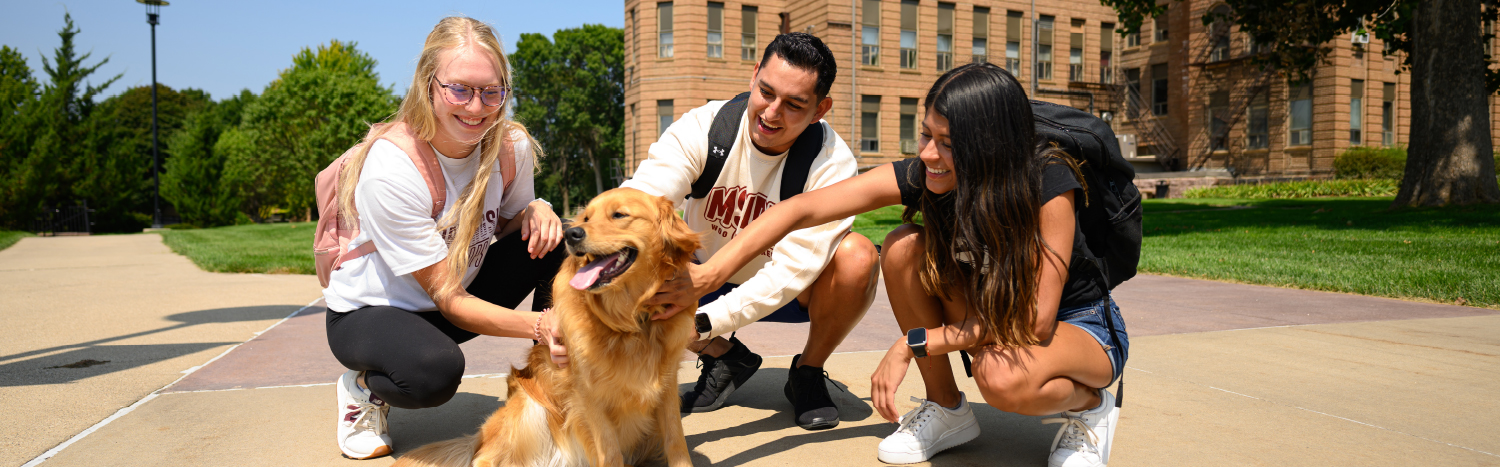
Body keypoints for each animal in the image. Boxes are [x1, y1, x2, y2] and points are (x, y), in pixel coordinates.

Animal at [396, 188, 705, 467]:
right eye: (586, 216)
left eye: (619, 215)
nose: (572, 234)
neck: (630, 322)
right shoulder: (589, 395)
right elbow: (610, 452)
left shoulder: (666, 385)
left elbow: (676, 443)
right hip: (528, 410)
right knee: (484, 458)